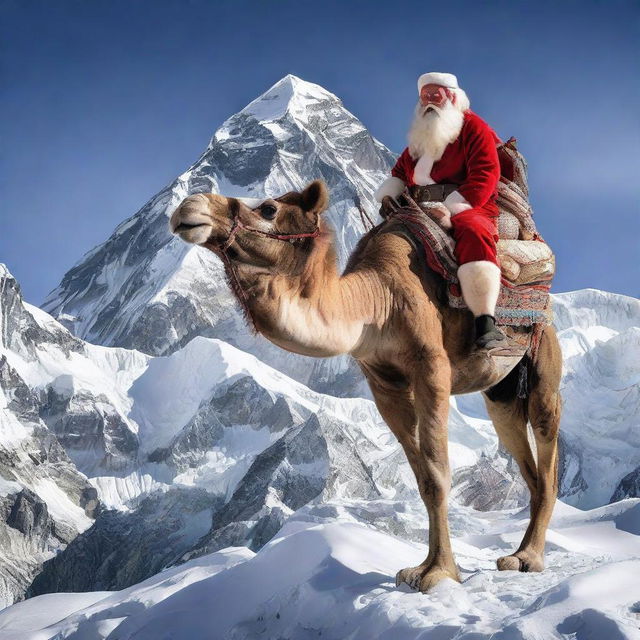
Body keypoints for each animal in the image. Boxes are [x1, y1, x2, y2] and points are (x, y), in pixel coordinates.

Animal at [169, 179, 560, 592]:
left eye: (268, 209)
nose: (189, 207)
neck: (378, 301)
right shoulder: (383, 384)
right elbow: (423, 480)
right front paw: (418, 569)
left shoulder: (431, 368)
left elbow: (438, 474)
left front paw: (438, 573)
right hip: (501, 394)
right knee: (530, 469)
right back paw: (517, 554)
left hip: (544, 368)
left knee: (548, 459)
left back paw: (529, 558)